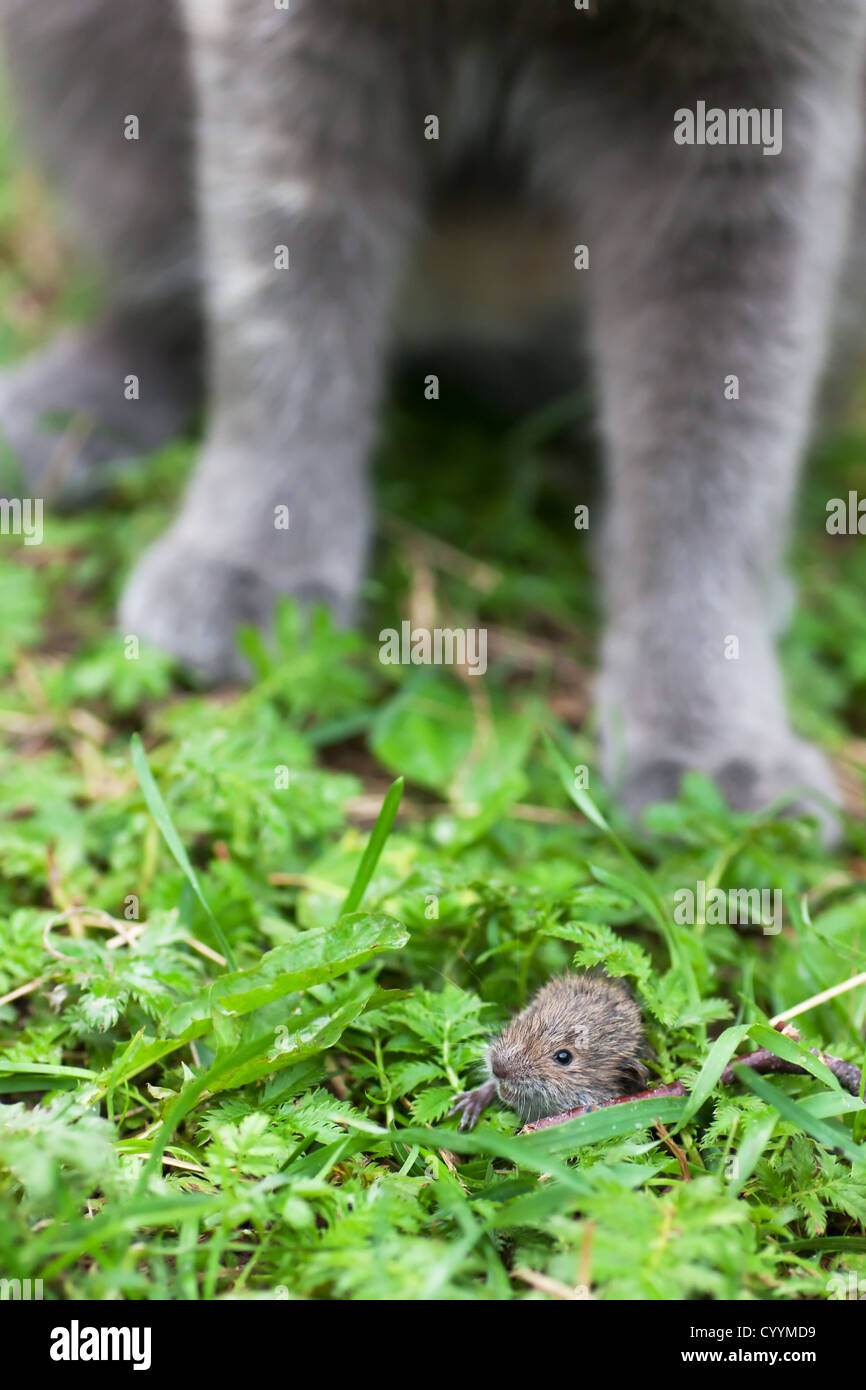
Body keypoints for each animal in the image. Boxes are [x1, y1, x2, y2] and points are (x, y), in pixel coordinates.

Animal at [3, 0, 861, 834]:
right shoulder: (292, 40)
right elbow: (283, 302)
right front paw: (254, 554)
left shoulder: (763, 97)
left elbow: (721, 448)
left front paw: (711, 747)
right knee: (164, 286)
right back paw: (60, 419)